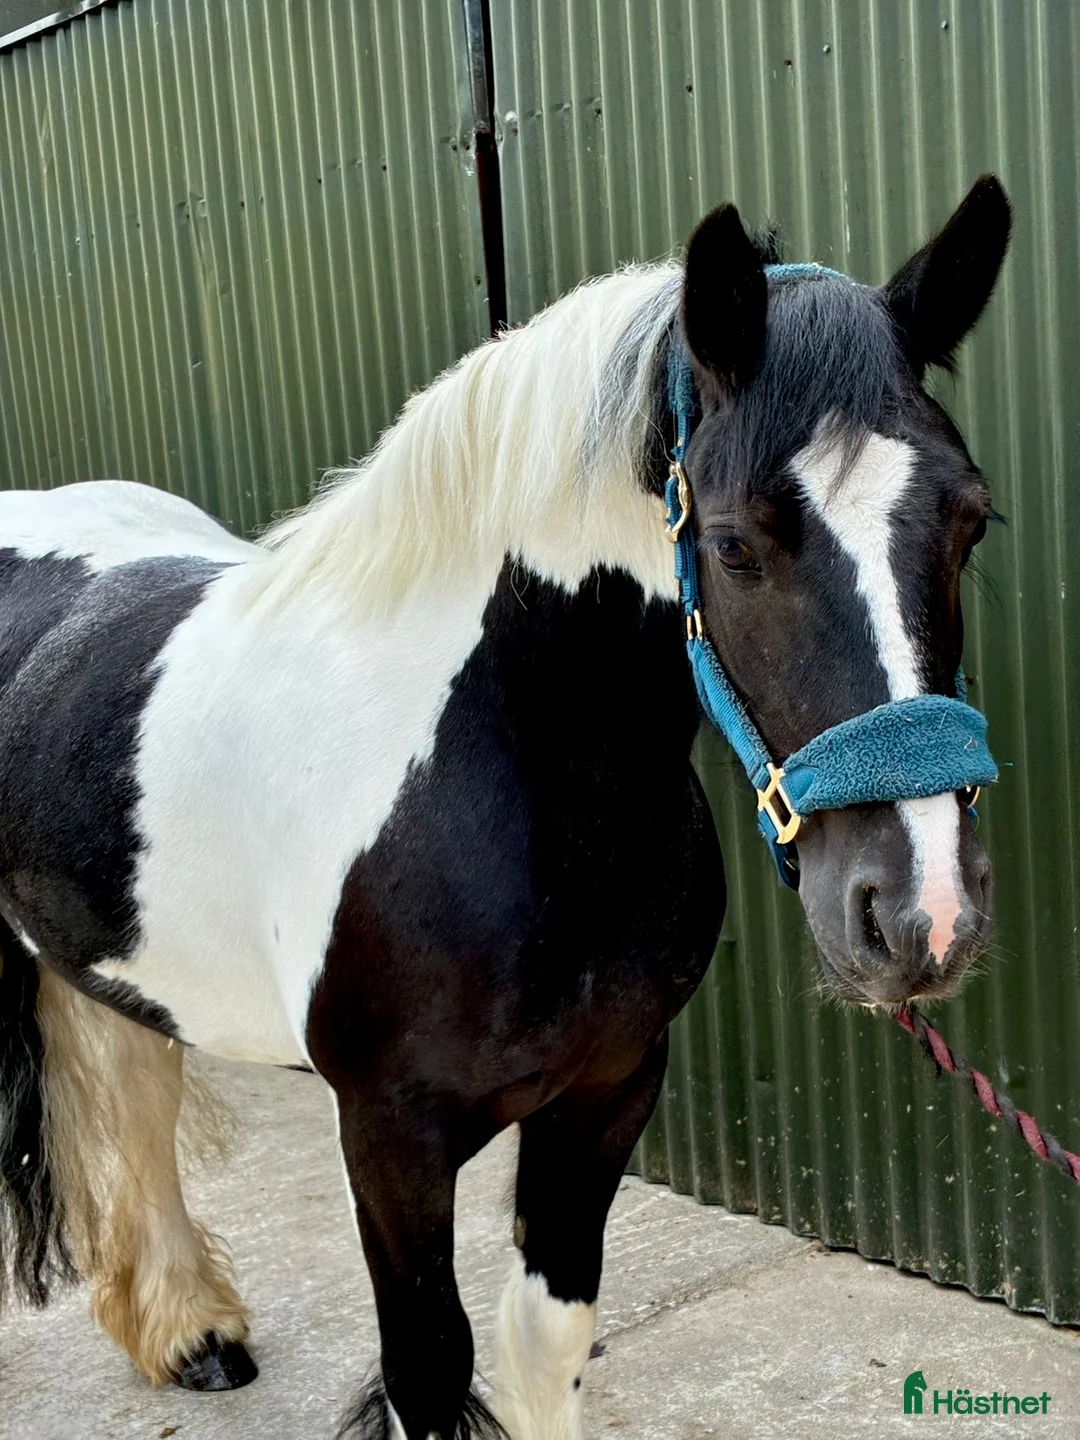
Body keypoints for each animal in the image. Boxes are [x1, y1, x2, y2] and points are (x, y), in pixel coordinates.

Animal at [0, 173, 1010, 1439]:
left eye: (972, 520)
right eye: (734, 545)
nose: (924, 915)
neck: (501, 794)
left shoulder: (605, 1095)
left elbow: (543, 1347)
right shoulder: (390, 1138)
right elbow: (432, 1365)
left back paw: (193, 1336)